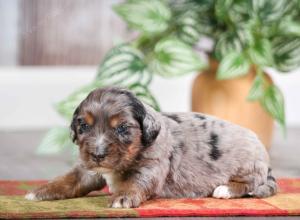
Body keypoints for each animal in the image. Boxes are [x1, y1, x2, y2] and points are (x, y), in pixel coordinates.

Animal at [25, 87, 276, 207]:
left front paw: (123, 197)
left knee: (251, 183)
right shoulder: (88, 169)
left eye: (122, 128)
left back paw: (225, 189)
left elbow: (136, 182)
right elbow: (69, 180)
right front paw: (39, 192)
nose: (97, 154)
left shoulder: (152, 165)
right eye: (83, 125)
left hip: (248, 165)